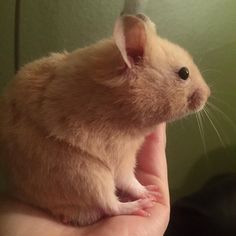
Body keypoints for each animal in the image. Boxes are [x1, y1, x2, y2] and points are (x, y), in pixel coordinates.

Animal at [0, 14, 210, 225]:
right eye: (184, 73)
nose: (208, 94)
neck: (119, 104)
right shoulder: (120, 154)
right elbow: (129, 181)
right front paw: (151, 192)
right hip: (86, 175)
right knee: (111, 206)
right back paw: (142, 203)